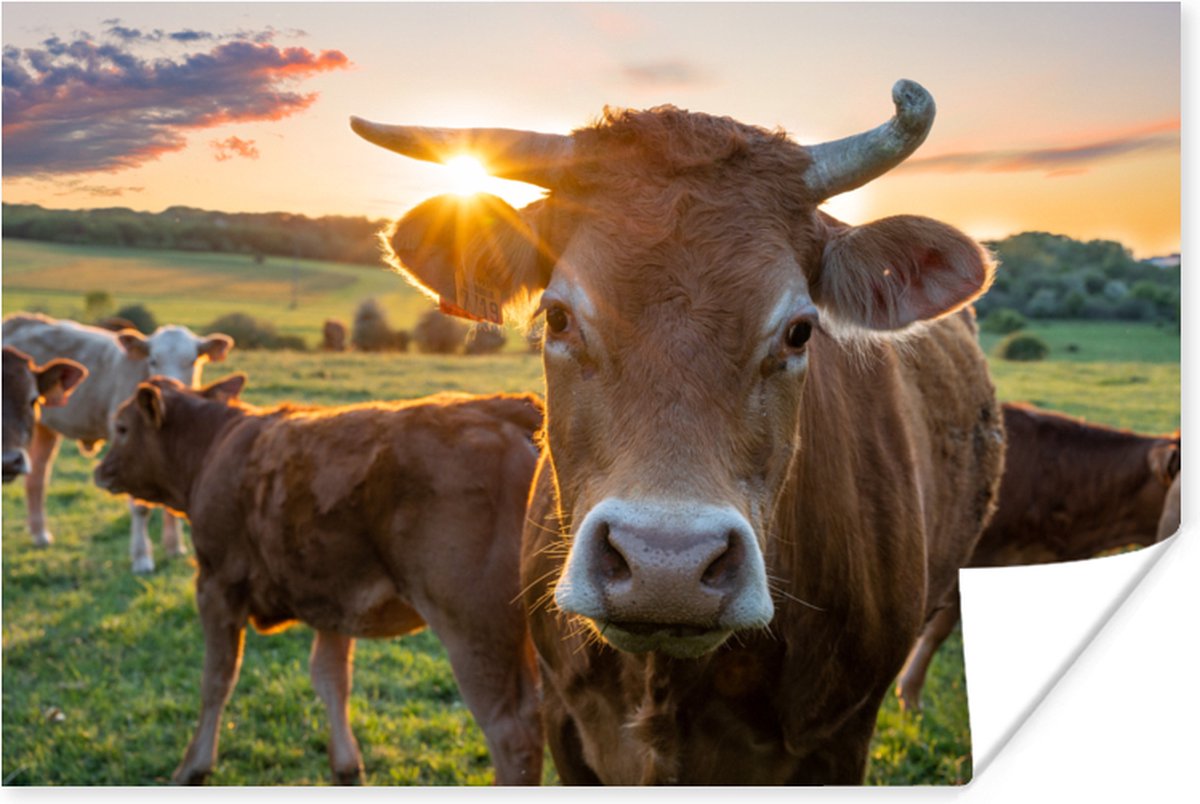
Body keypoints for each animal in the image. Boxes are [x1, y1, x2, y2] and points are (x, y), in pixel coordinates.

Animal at [93, 376, 545, 786]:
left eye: (122, 427)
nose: (99, 468)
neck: (214, 447)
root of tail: (504, 408)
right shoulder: (333, 598)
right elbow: (331, 678)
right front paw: (346, 765)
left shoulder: (216, 585)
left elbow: (217, 679)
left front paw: (193, 767)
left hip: (474, 628)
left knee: (514, 734)